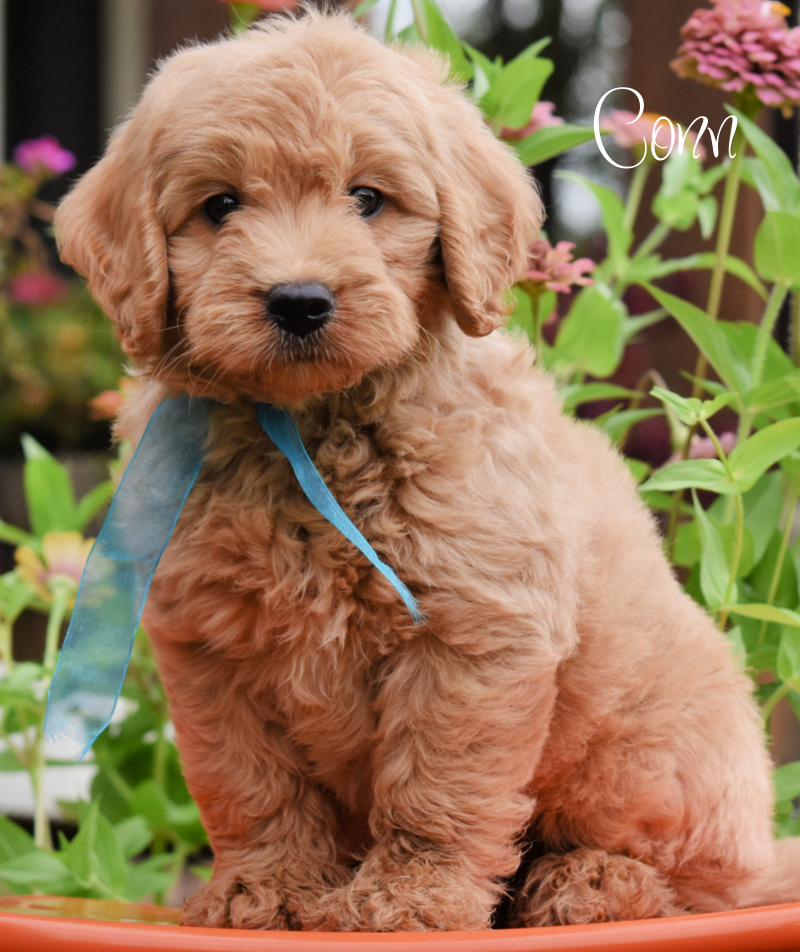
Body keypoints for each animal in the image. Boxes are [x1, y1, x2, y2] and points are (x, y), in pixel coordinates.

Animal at [53, 11, 796, 932]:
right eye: (220, 205)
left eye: (369, 199)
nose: (299, 300)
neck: (314, 430)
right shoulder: (212, 651)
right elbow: (252, 785)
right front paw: (261, 892)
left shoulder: (474, 637)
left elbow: (436, 787)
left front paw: (407, 900)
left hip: (643, 758)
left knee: (700, 882)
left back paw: (588, 883)